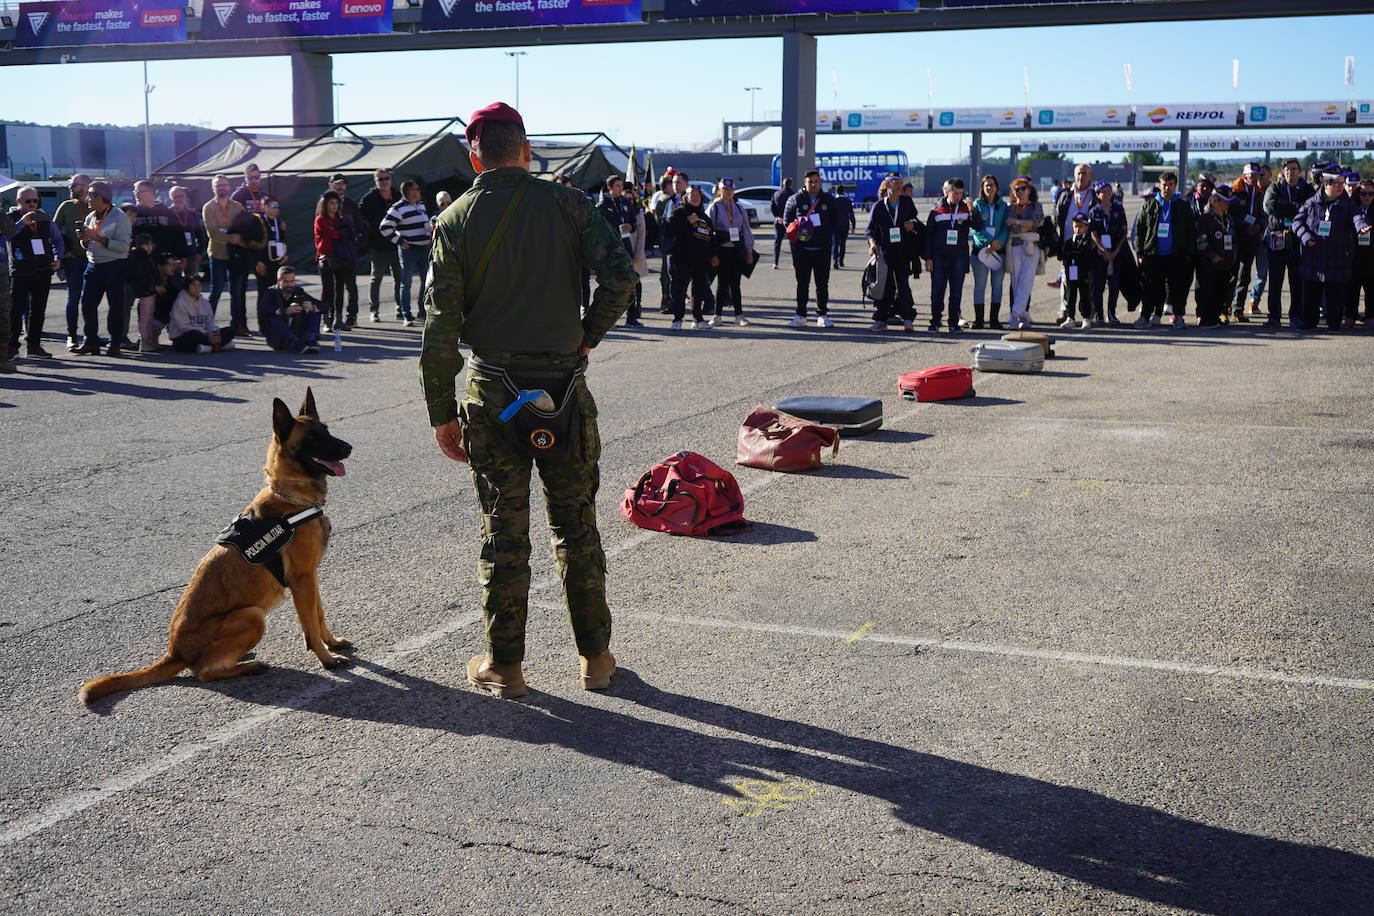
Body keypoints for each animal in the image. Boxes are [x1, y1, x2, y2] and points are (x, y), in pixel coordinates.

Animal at [77, 390, 357, 708]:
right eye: (311, 438)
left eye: (326, 430)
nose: (348, 448)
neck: (291, 497)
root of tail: (174, 653)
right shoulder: (302, 580)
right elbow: (309, 624)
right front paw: (326, 658)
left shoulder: (310, 578)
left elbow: (319, 615)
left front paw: (332, 642)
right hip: (251, 615)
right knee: (204, 673)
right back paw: (246, 666)